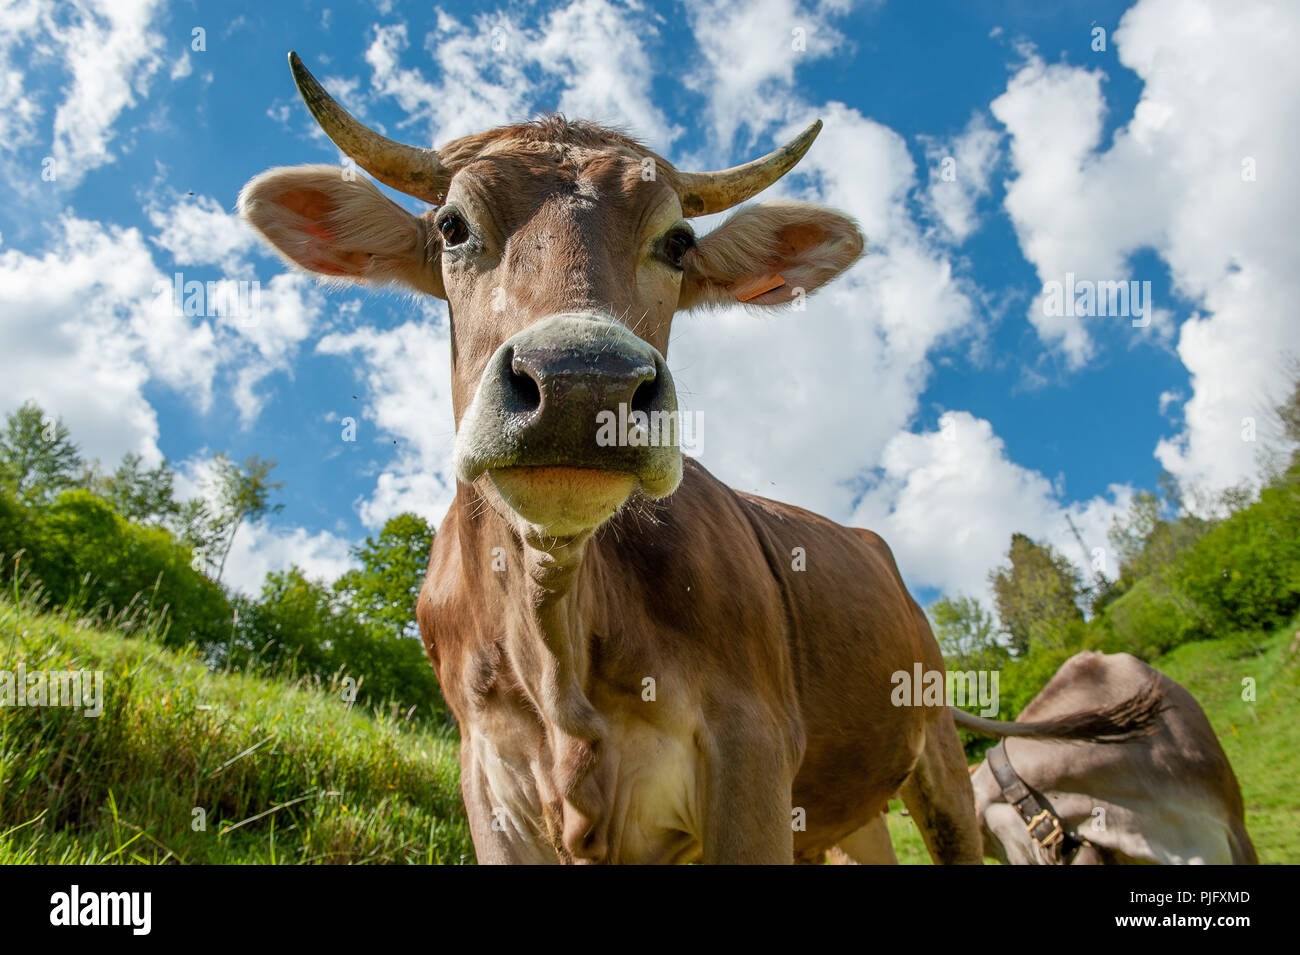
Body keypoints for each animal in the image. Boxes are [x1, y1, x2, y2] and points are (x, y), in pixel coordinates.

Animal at [239, 53, 1151, 864]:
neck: (559, 651)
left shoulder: (750, 752)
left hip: (933, 758)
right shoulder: (487, 779)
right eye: (452, 227)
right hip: (846, 817)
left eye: (677, 242)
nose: (583, 383)